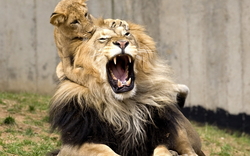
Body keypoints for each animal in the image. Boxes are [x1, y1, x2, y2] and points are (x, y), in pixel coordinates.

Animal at [49, 24, 205, 156]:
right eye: (102, 39)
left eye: (127, 34)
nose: (122, 43)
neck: (125, 107)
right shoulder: (72, 145)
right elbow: (101, 150)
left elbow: (162, 148)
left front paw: (170, 152)